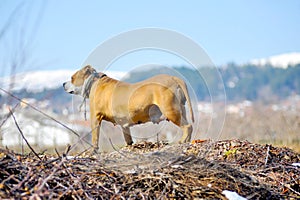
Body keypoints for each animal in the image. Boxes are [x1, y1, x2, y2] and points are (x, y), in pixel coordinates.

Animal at [63, 65, 195, 151]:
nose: (63, 83)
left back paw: (182, 141)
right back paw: (187, 142)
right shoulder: (124, 124)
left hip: (171, 111)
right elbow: (128, 139)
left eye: (72, 78)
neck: (94, 82)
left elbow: (95, 138)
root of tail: (174, 78)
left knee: (188, 126)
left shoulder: (95, 118)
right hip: (181, 110)